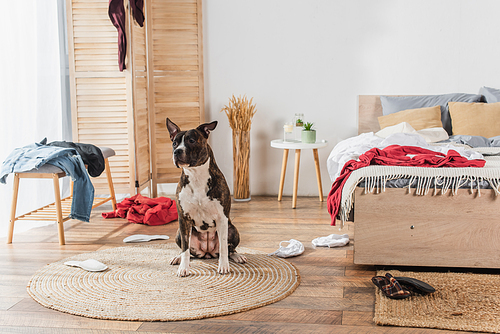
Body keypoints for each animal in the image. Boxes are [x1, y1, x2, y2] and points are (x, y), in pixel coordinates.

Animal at [167, 118, 247, 276]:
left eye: (192, 140)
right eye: (174, 143)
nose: (177, 151)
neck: (196, 175)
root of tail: (207, 253)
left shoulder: (222, 218)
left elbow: (223, 246)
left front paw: (224, 266)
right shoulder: (183, 219)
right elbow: (185, 249)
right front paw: (183, 268)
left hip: (232, 229)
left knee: (230, 249)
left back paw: (237, 256)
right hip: (179, 232)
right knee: (188, 251)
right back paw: (177, 258)